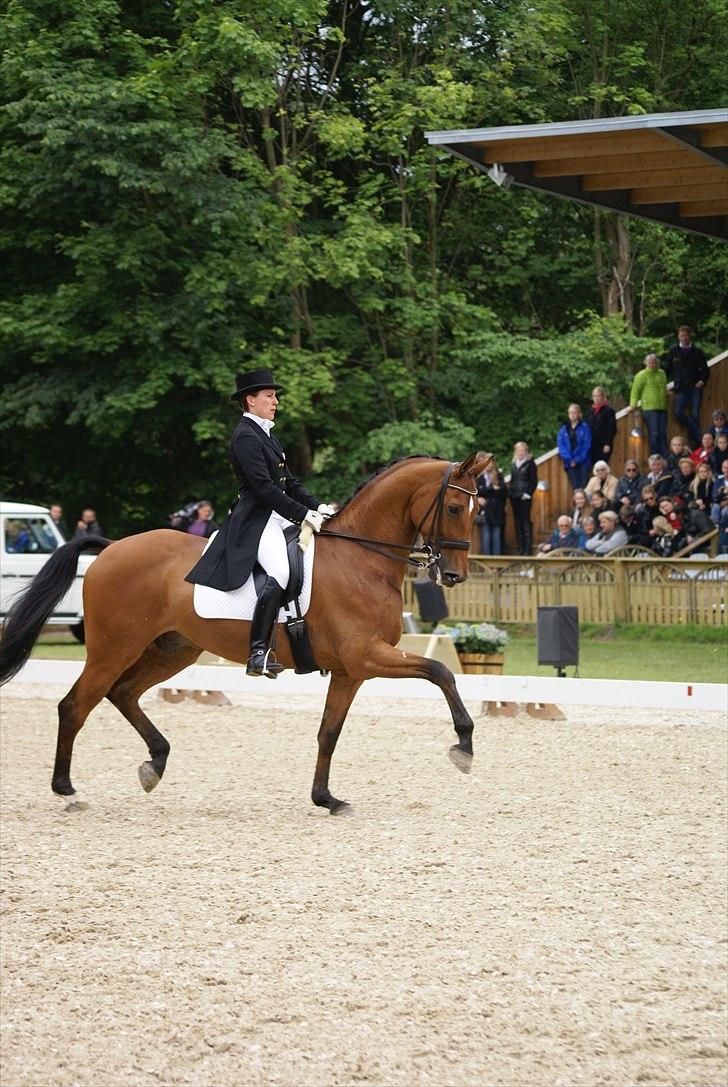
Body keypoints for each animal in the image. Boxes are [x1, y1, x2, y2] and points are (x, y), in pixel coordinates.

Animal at [0, 445, 493, 813]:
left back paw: (155, 763)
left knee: (122, 693)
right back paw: (67, 790)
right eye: (454, 507)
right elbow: (440, 672)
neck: (363, 558)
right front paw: (464, 747)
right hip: (113, 648)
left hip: (172, 650)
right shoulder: (366, 655)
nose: (453, 576)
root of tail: (110, 548)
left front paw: (326, 798)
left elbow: (329, 732)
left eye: (477, 512)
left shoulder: (350, 670)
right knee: (76, 705)